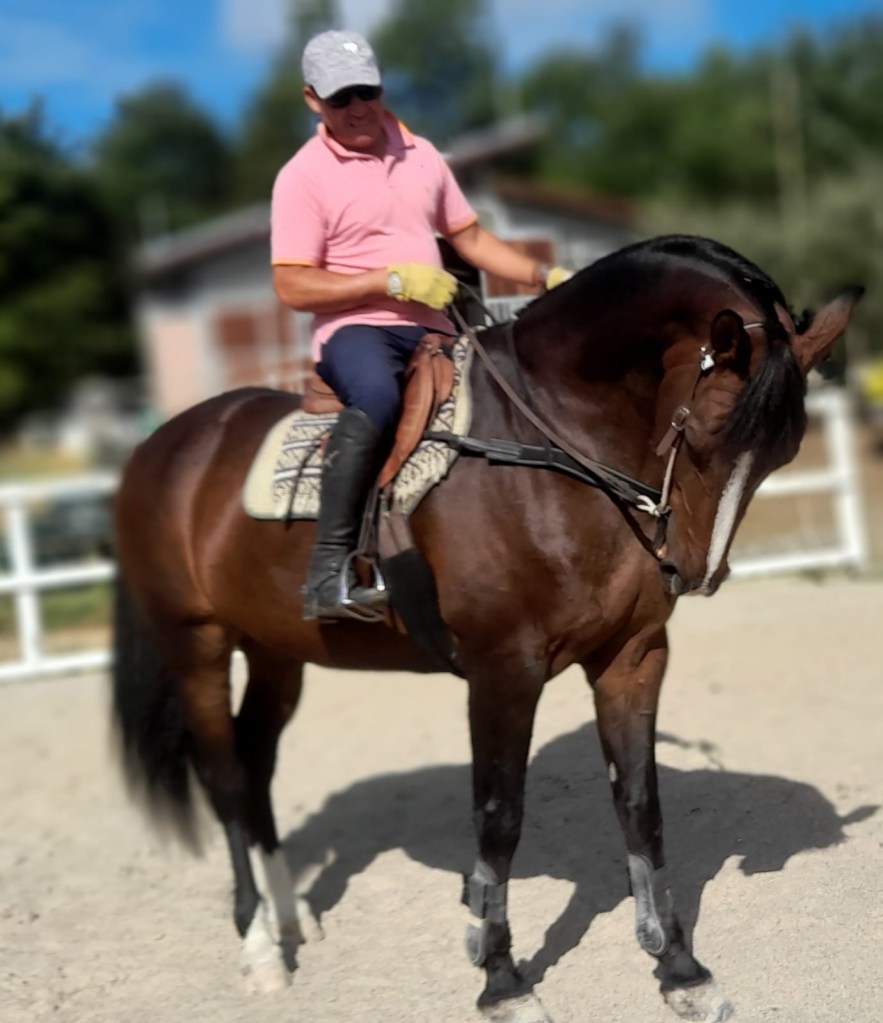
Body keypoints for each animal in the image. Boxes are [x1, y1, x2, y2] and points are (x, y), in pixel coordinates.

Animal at [111, 234, 861, 1022]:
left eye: (783, 452)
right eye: (705, 431)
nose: (691, 571)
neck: (550, 446)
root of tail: (165, 445)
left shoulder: (631, 656)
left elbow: (640, 804)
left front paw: (679, 968)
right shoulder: (504, 668)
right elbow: (499, 818)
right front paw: (502, 979)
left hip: (276, 652)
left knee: (255, 768)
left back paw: (292, 920)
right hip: (196, 644)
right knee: (226, 778)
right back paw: (259, 946)